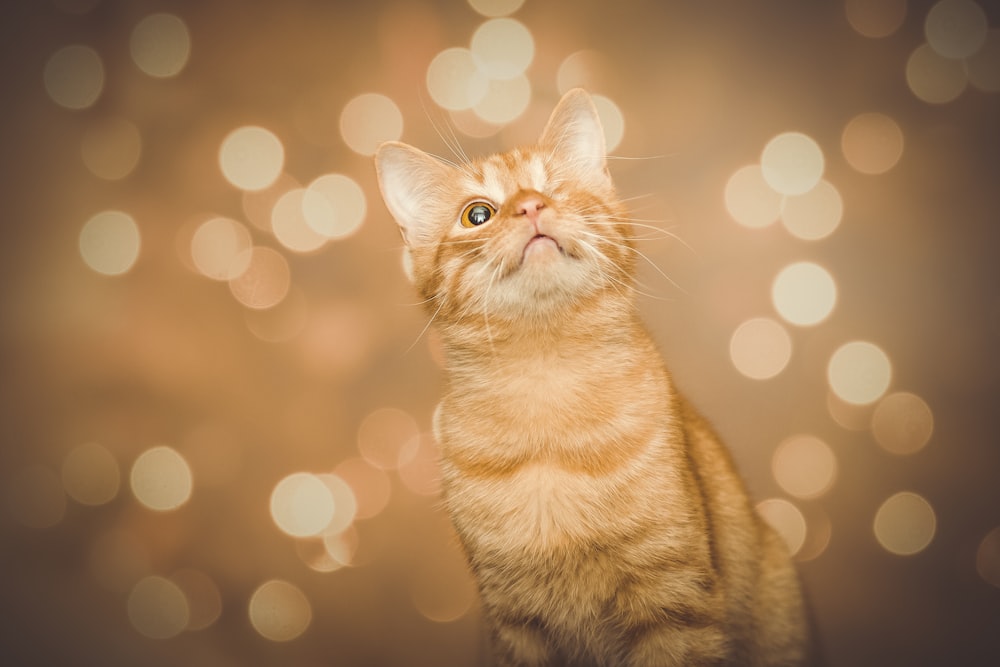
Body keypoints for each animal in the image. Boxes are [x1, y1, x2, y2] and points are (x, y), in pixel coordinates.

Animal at [374, 90, 812, 667]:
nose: (531, 206)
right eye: (478, 214)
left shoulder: (674, 601)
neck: (547, 386)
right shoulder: (513, 623)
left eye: (555, 190)